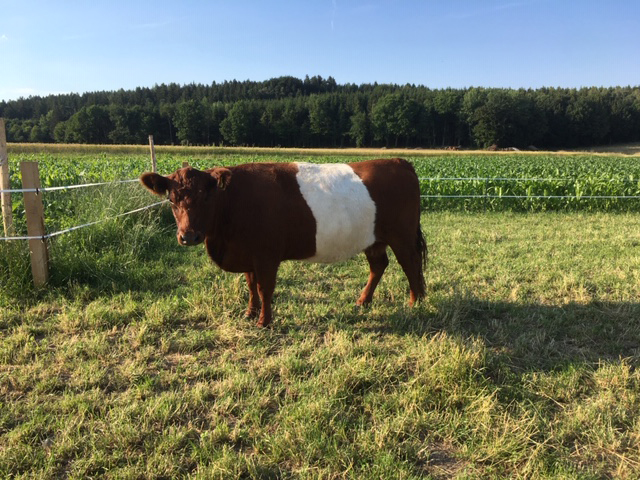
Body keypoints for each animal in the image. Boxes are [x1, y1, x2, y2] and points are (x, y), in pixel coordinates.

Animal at [142, 158, 428, 326]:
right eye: (171, 199)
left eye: (205, 196)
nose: (188, 236)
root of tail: (399, 161)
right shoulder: (248, 253)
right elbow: (250, 285)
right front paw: (250, 313)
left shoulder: (266, 255)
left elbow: (264, 288)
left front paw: (264, 322)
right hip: (373, 238)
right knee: (378, 265)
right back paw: (363, 301)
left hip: (402, 236)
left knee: (411, 264)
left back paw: (415, 303)